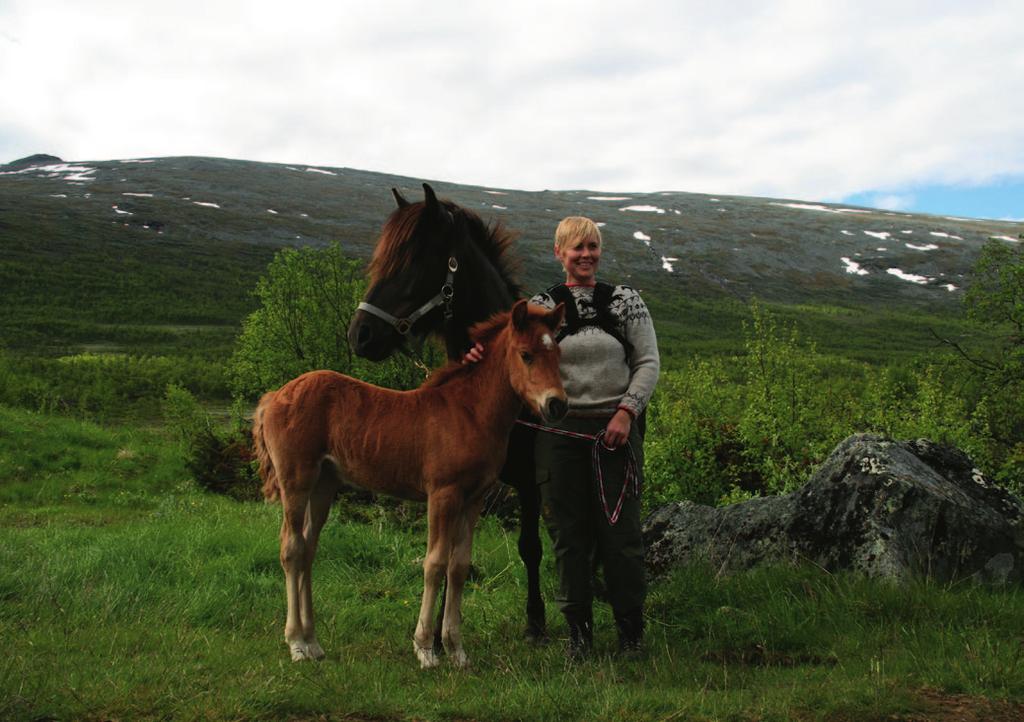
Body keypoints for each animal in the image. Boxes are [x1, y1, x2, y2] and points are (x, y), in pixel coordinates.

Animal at [346, 184, 552, 634]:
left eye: (414, 261)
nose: (360, 335)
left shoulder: (529, 483)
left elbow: (530, 547)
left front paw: (536, 621)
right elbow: (449, 557)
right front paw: (440, 632)